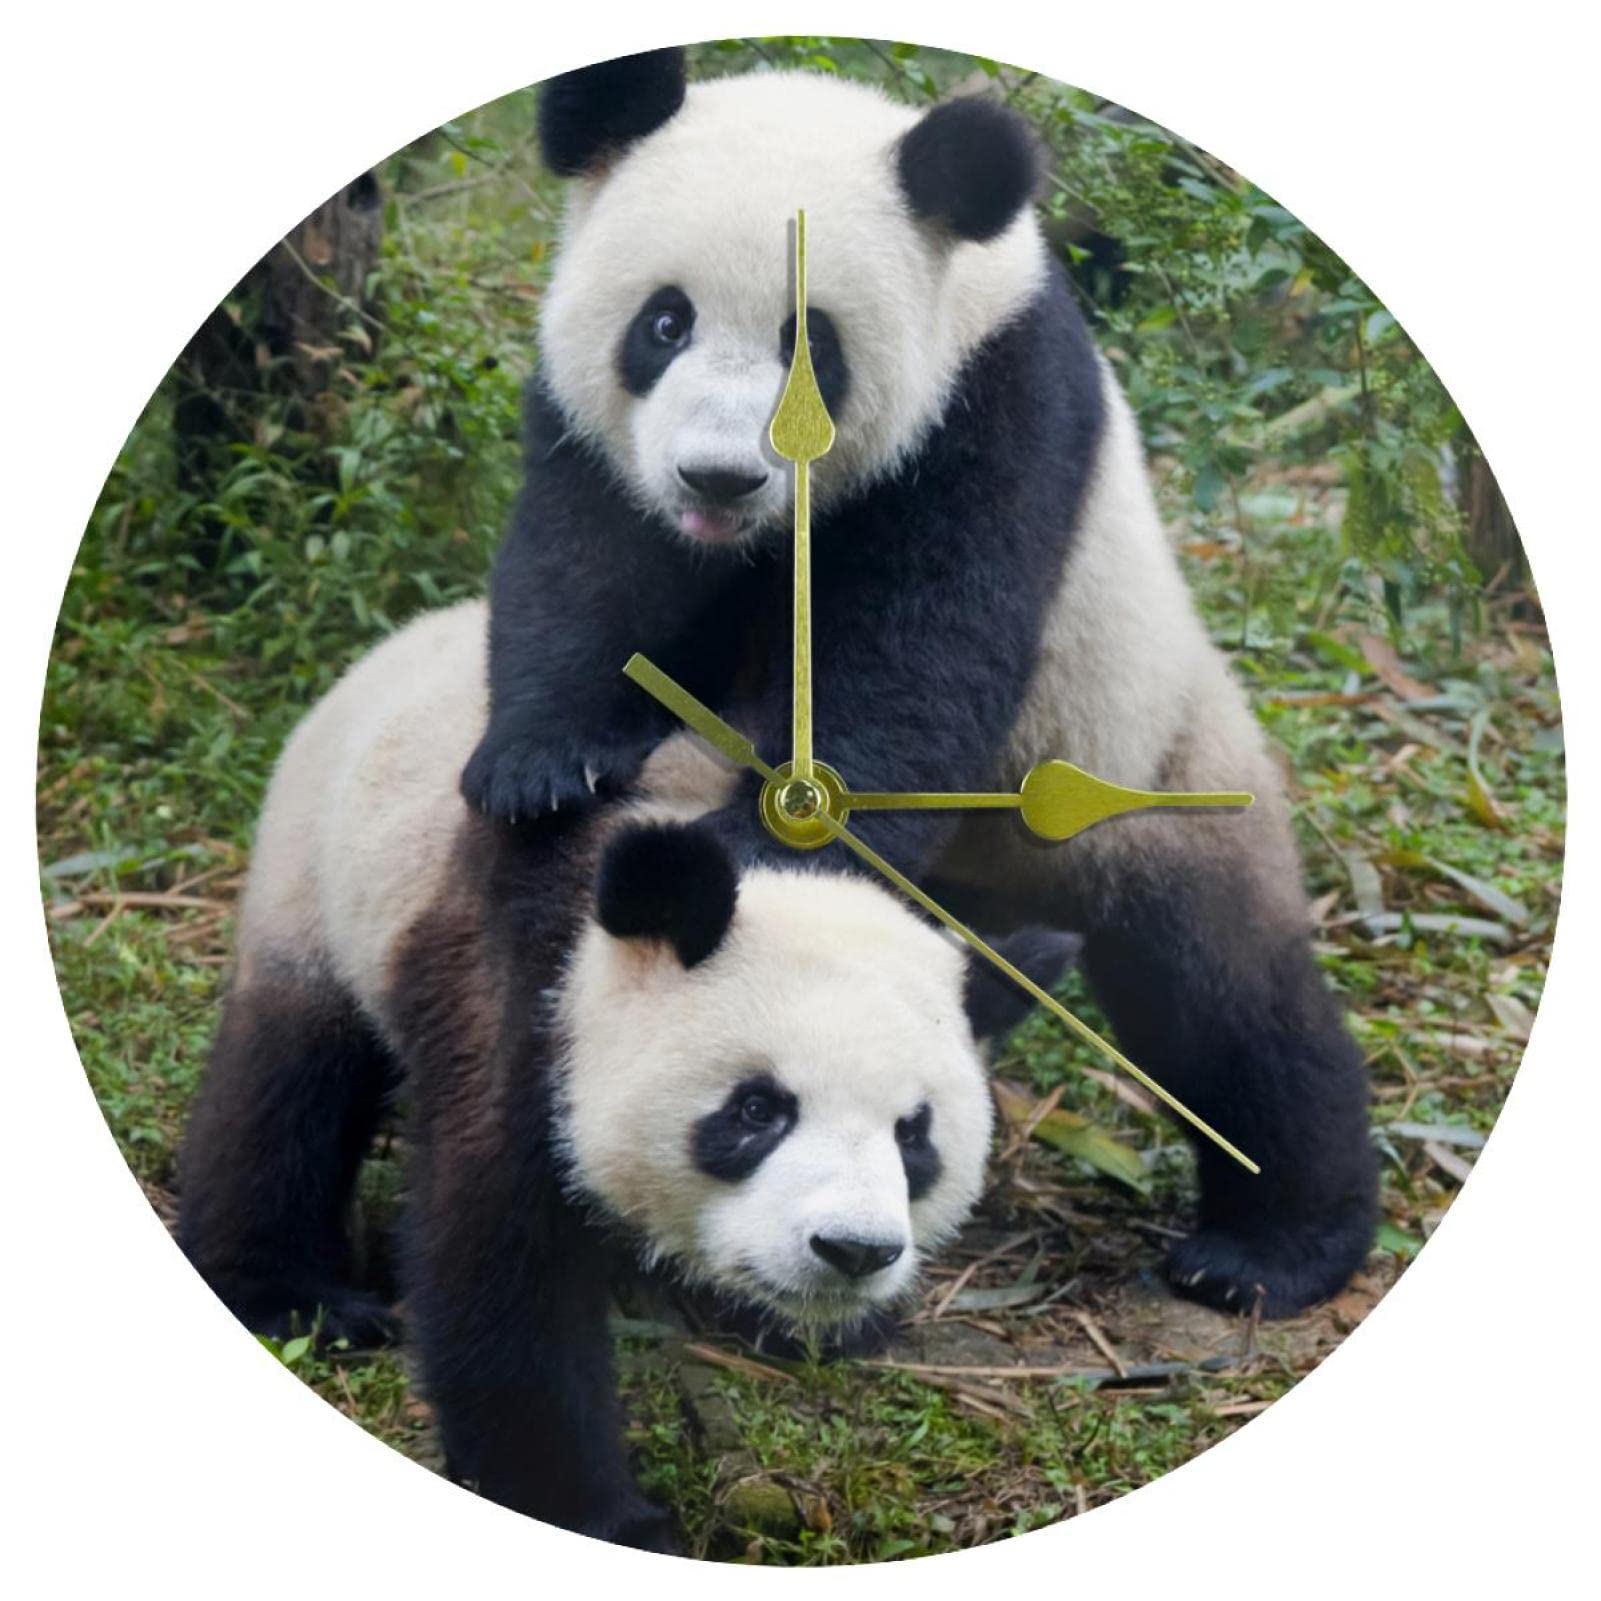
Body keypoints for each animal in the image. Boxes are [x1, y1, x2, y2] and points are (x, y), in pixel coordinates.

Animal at [177, 599, 1077, 1548]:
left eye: (914, 1137)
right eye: (756, 1110)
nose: (852, 1250)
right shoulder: (529, 996)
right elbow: (504, 1265)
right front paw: (596, 1511)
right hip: (321, 872)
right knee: (286, 1083)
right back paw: (294, 1297)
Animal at [459, 49, 1378, 1318]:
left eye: (812, 346)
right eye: (662, 321)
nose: (717, 476)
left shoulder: (993, 411)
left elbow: (916, 664)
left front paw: (751, 855)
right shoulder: (593, 425)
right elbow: (583, 562)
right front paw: (544, 767)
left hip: (1145, 758)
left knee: (1229, 998)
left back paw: (1271, 1244)